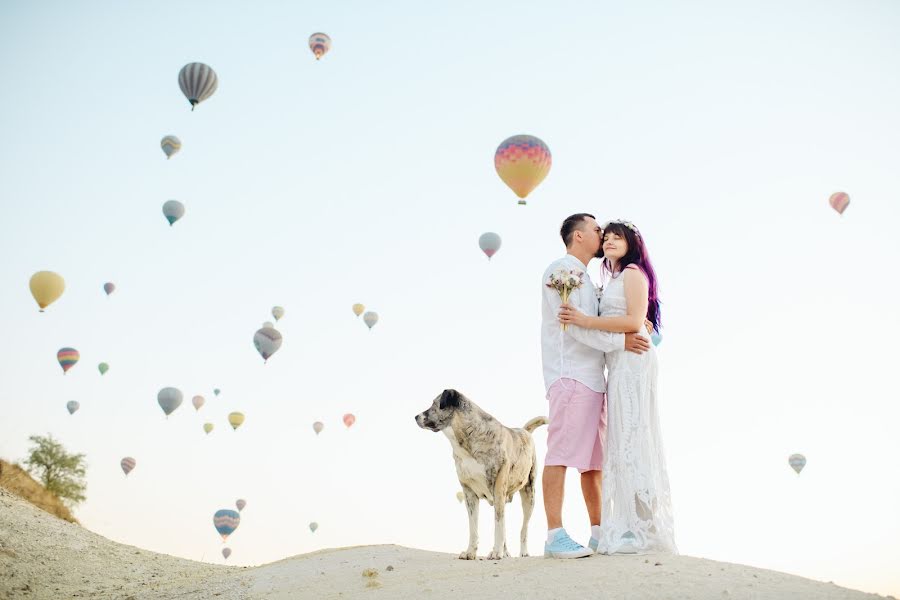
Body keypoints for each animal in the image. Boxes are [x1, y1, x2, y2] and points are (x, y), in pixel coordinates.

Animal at [414, 390, 548, 556]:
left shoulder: (498, 490)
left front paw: (496, 552)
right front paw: (470, 552)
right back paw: (504, 552)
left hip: (529, 495)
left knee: (523, 528)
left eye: (435, 404)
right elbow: (473, 527)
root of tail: (524, 431)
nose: (416, 417)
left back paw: (521, 552)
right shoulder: (469, 493)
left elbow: (498, 525)